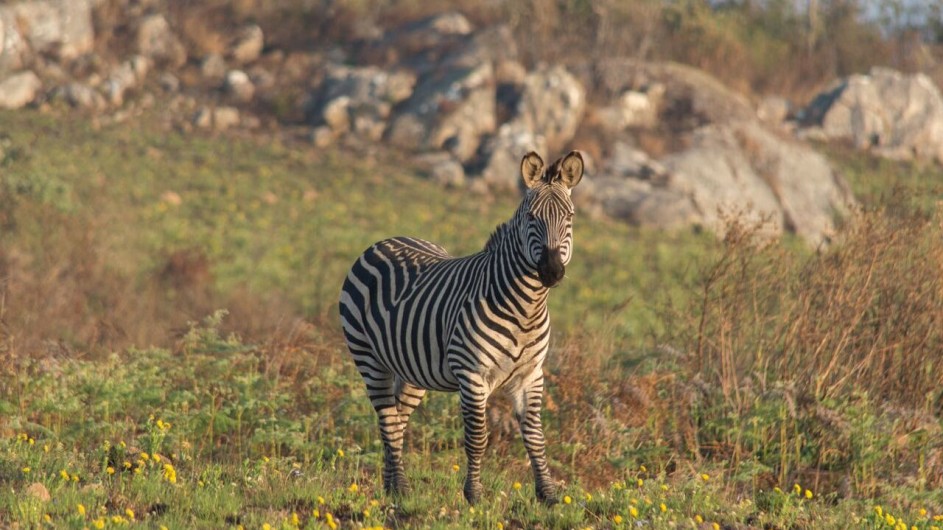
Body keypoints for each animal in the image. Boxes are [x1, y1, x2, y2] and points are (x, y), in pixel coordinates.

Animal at [340, 150, 584, 504]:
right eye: (531, 218)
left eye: (569, 218)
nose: (551, 271)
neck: (526, 307)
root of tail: (384, 241)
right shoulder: (473, 376)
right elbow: (477, 438)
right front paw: (474, 495)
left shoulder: (531, 375)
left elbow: (535, 437)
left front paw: (548, 495)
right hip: (368, 358)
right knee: (388, 419)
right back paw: (402, 488)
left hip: (412, 369)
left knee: (397, 418)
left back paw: (391, 485)